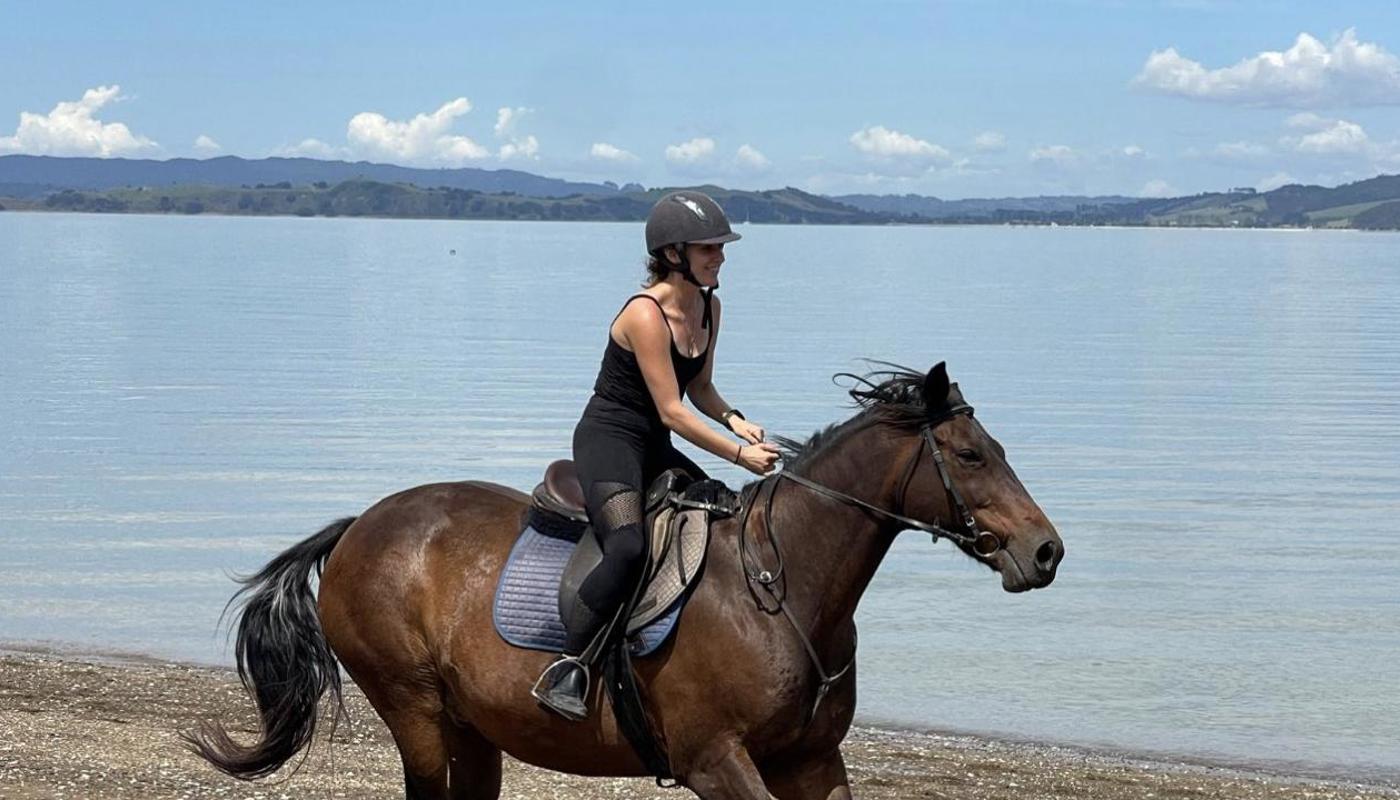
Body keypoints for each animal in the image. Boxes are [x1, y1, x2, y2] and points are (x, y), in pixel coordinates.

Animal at [186, 364, 1058, 800]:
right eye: (971, 455)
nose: (1046, 552)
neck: (782, 587)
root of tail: (360, 525)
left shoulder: (811, 762)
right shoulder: (716, 760)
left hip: (472, 730)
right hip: (414, 710)